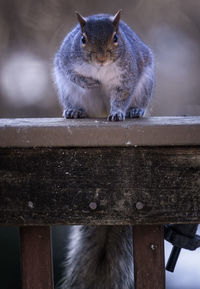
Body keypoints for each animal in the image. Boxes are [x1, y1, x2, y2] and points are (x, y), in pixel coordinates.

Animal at [54, 11, 155, 288]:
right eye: (83, 39)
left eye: (116, 38)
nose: (100, 59)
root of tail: (97, 112)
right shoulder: (65, 62)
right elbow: (74, 74)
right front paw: (90, 82)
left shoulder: (127, 77)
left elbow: (121, 95)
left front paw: (119, 112)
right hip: (67, 91)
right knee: (75, 99)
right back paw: (74, 111)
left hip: (145, 85)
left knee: (135, 101)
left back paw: (134, 111)